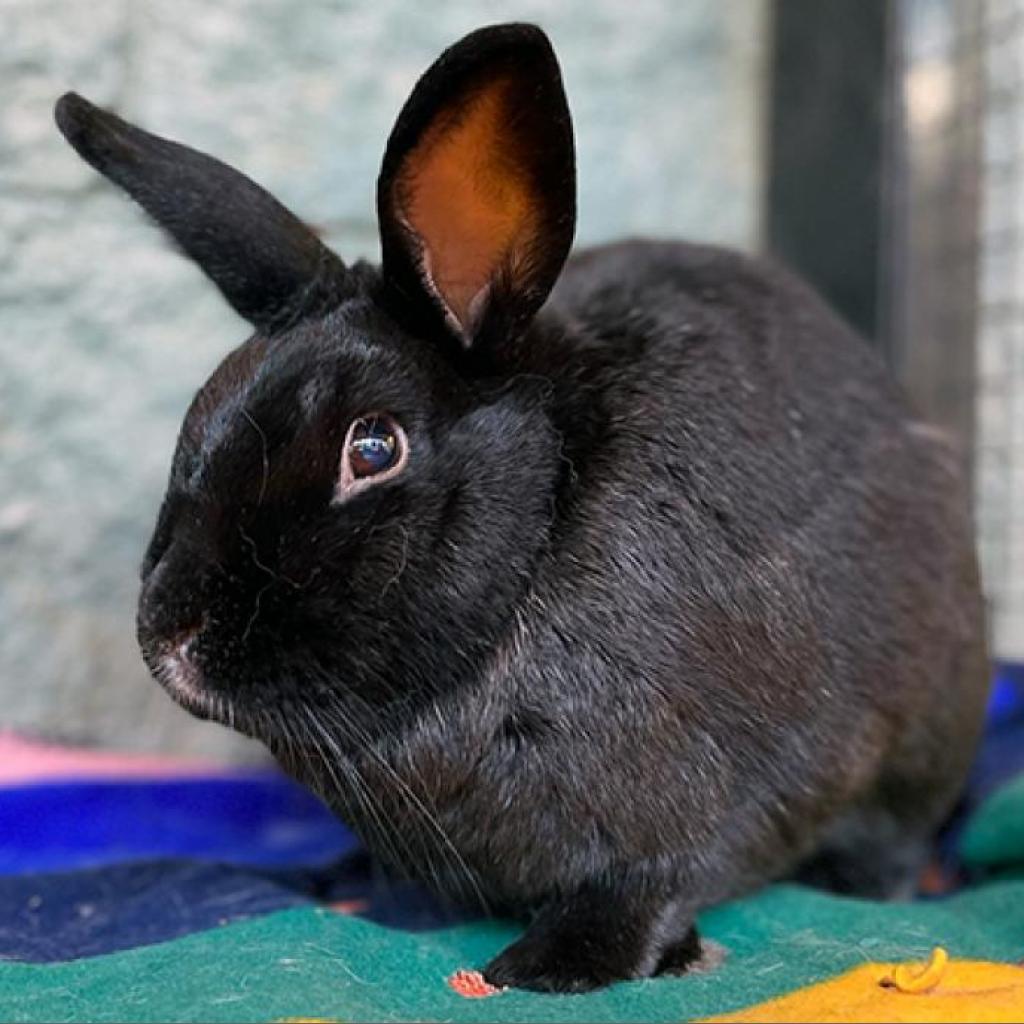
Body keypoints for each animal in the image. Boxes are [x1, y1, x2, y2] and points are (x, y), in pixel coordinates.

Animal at [51, 18, 987, 991]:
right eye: (200, 415)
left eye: (373, 449)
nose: (170, 641)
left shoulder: (682, 811)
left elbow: (649, 884)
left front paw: (544, 969)